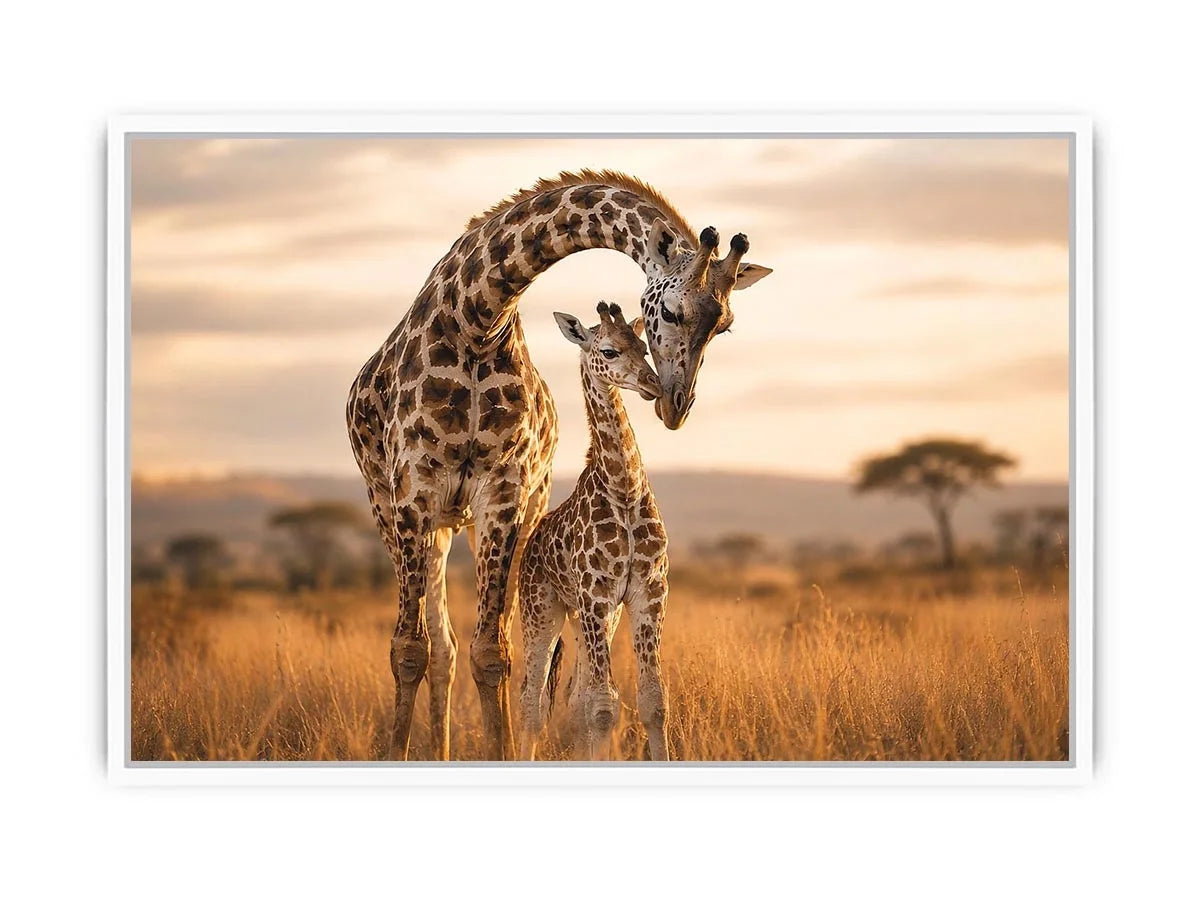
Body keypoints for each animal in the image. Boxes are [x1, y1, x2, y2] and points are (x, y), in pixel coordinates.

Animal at [517, 302, 670, 762]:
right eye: (608, 350)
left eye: (642, 345)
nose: (653, 385)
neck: (624, 489)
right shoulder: (595, 596)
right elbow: (604, 708)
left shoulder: (647, 594)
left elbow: (652, 701)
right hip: (542, 612)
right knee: (531, 701)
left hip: (591, 617)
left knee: (575, 696)